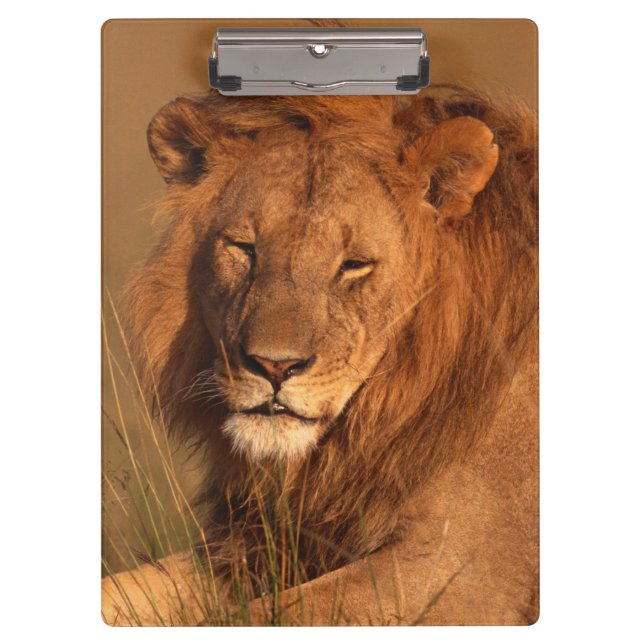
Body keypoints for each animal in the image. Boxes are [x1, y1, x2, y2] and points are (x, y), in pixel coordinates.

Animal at [101, 86, 538, 626]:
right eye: (244, 248)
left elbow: (259, 617)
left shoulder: (465, 573)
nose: (274, 367)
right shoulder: (257, 544)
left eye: (353, 265)